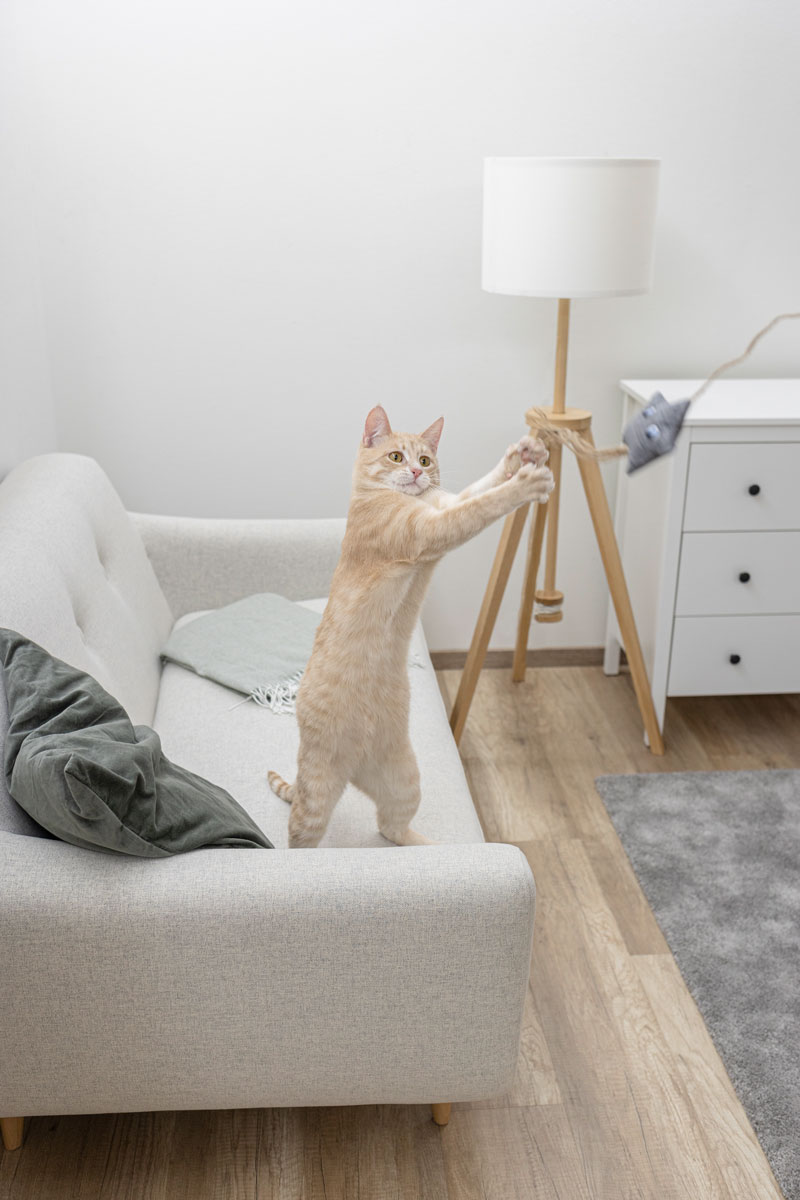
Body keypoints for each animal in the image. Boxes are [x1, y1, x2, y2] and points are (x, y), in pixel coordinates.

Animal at [266, 408, 554, 849]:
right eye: (397, 457)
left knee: (391, 827)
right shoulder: (430, 530)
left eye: (425, 460)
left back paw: (434, 848)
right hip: (316, 796)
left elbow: (476, 490)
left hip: (404, 780)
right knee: (302, 836)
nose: (418, 474)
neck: (393, 498)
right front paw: (526, 483)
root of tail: (353, 772)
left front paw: (519, 455)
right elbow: (482, 505)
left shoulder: (441, 505)